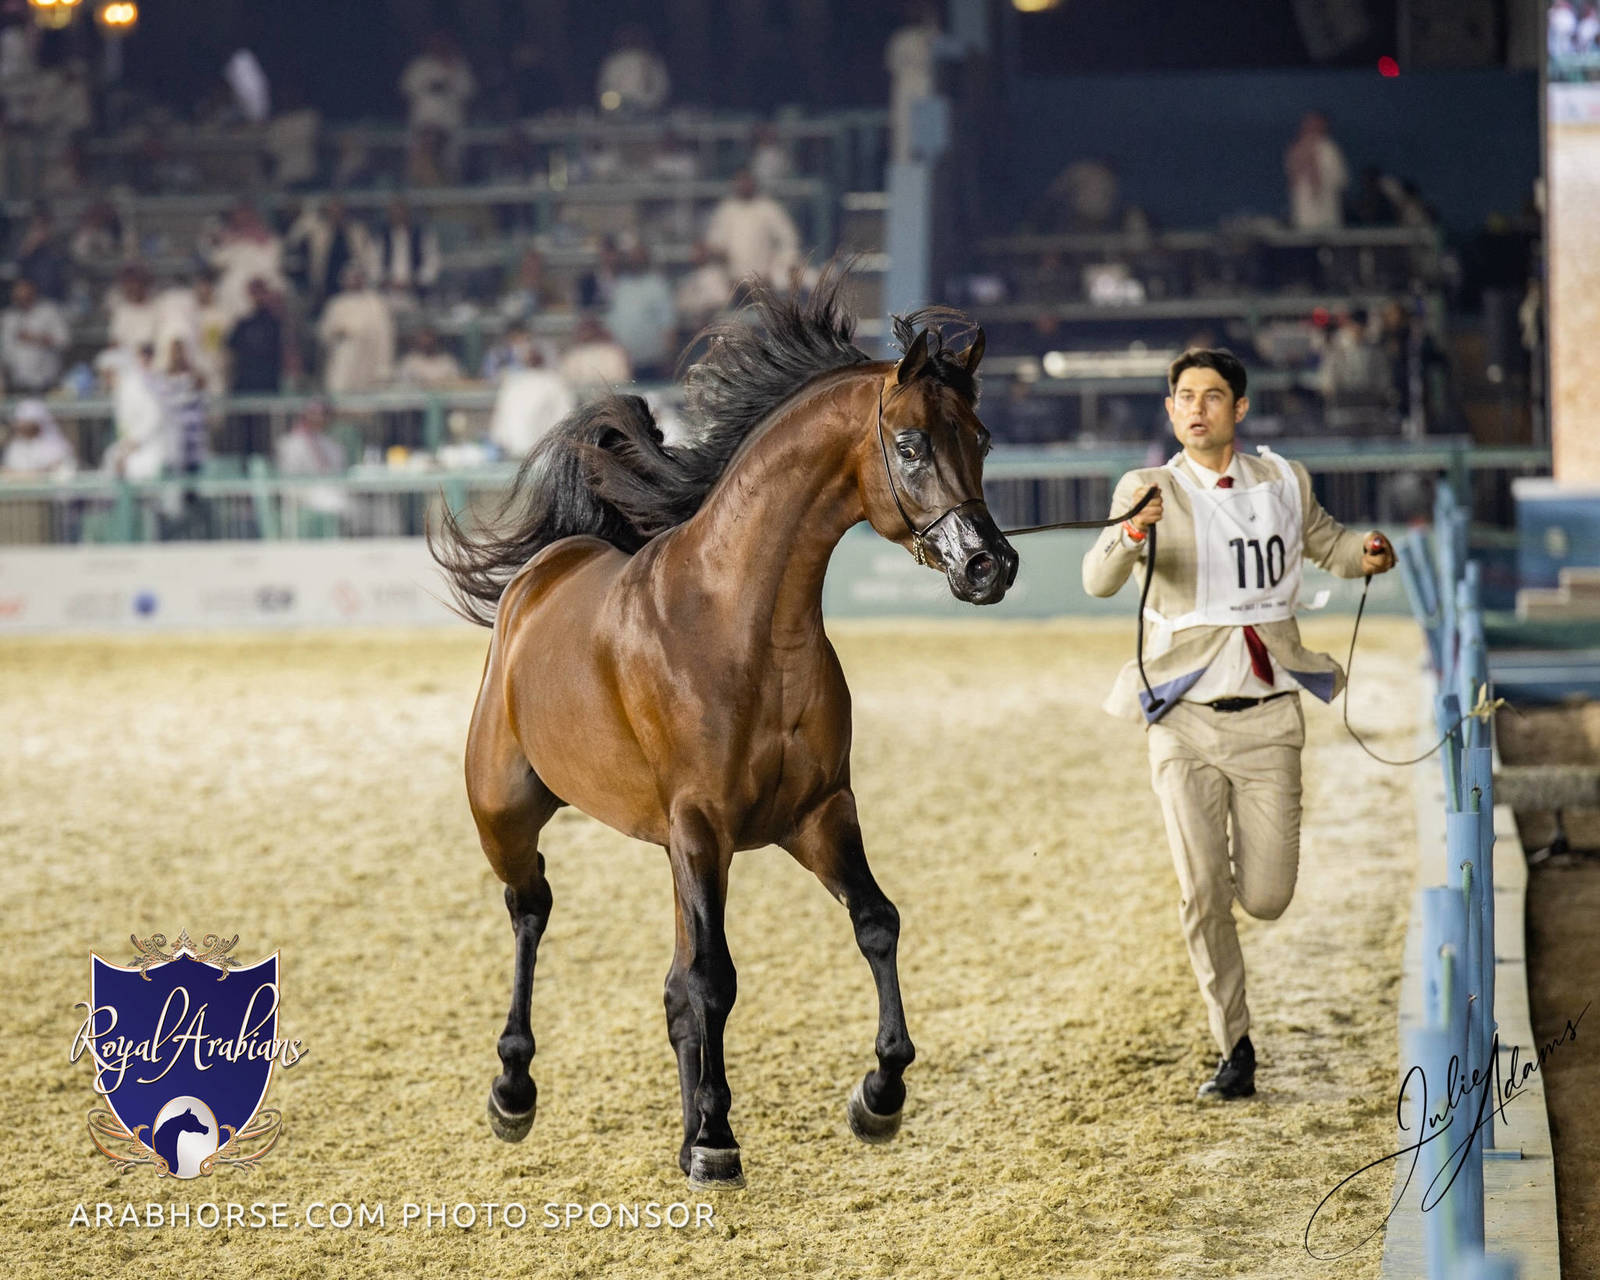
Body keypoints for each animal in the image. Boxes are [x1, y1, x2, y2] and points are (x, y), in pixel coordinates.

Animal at [429, 273, 1018, 1190]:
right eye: (912, 444)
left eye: (982, 438)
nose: (990, 565)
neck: (738, 625)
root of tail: (541, 574)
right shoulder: (704, 826)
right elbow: (715, 979)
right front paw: (714, 1138)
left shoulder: (815, 815)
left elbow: (873, 923)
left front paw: (877, 1096)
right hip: (507, 815)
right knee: (531, 910)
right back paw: (514, 1090)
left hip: (674, 850)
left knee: (670, 982)